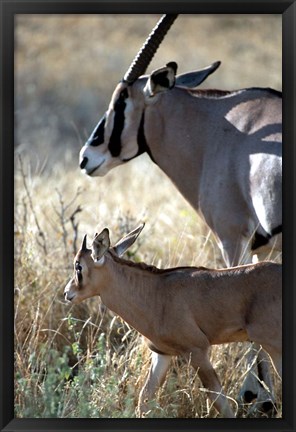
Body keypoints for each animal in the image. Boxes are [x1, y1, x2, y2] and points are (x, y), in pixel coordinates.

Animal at [64, 224, 282, 416]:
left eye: (79, 266)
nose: (67, 293)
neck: (157, 293)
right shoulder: (162, 354)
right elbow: (144, 399)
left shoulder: (197, 351)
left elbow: (219, 401)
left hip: (273, 347)